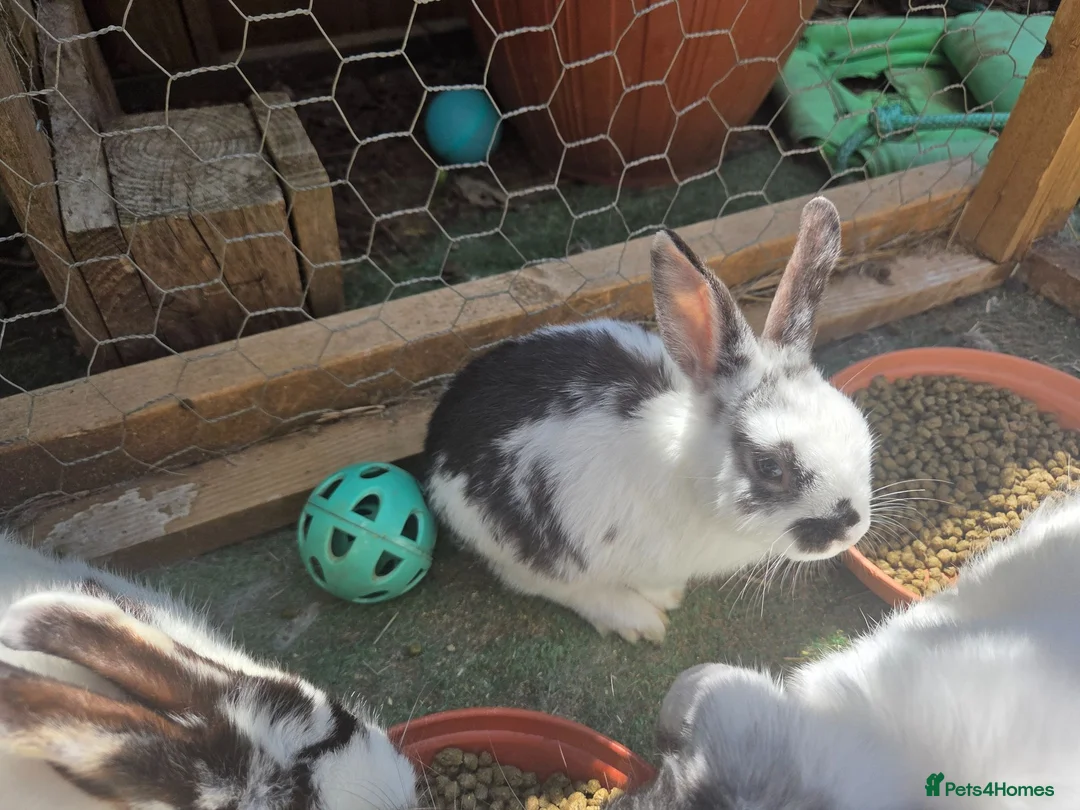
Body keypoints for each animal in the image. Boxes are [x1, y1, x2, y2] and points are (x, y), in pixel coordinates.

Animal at [423, 196, 874, 644]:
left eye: (861, 431)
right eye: (770, 468)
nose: (851, 529)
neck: (689, 478)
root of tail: (437, 438)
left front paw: (665, 592)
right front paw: (655, 606)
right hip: (514, 541)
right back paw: (636, 617)